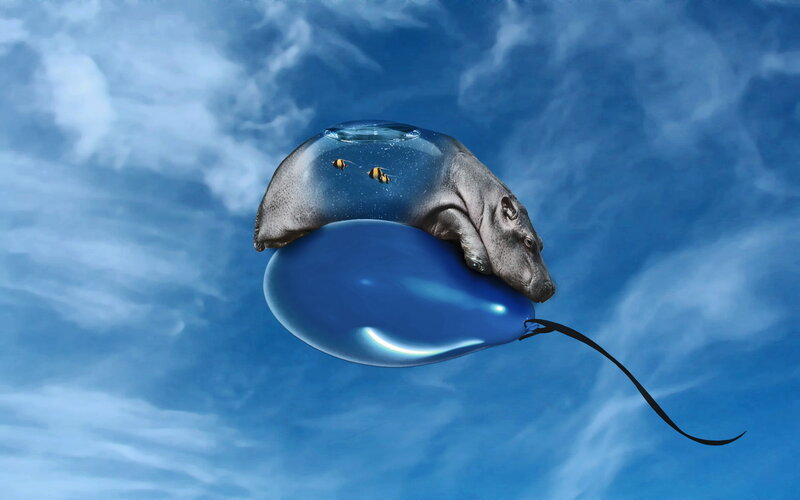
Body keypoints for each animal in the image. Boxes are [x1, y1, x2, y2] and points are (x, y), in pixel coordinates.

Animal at [253, 120, 556, 303]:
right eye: (528, 242)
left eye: (542, 242)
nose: (552, 288)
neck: (483, 201)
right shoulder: (439, 208)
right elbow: (462, 221)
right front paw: (479, 263)